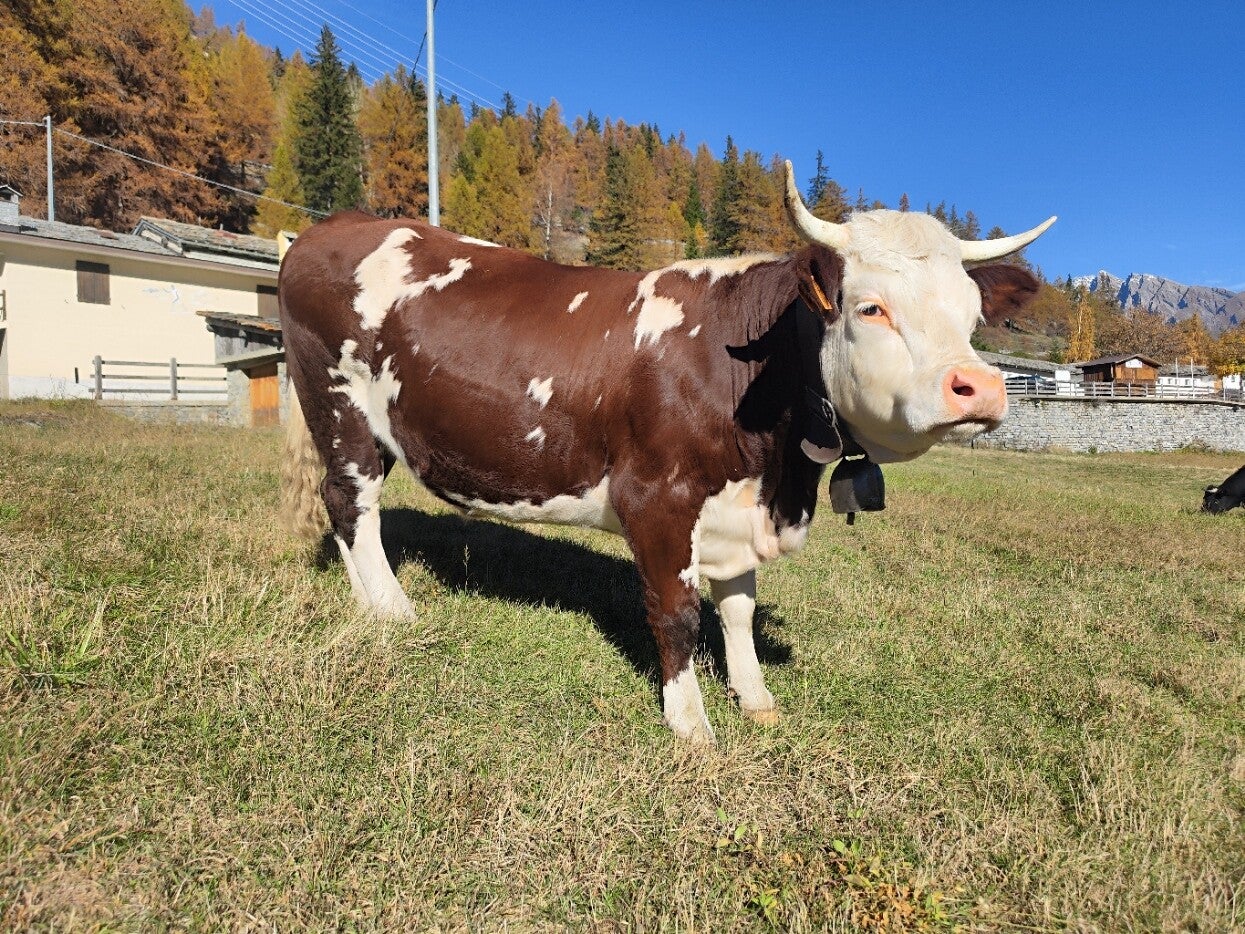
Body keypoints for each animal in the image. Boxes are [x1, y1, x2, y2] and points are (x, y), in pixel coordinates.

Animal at [277, 161, 1054, 742]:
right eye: (870, 308)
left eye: (973, 314)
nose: (981, 387)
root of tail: (340, 223)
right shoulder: (656, 499)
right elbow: (676, 611)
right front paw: (691, 724)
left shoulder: (736, 508)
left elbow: (736, 609)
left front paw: (755, 697)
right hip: (337, 403)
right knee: (350, 500)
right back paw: (393, 610)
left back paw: (366, 602)